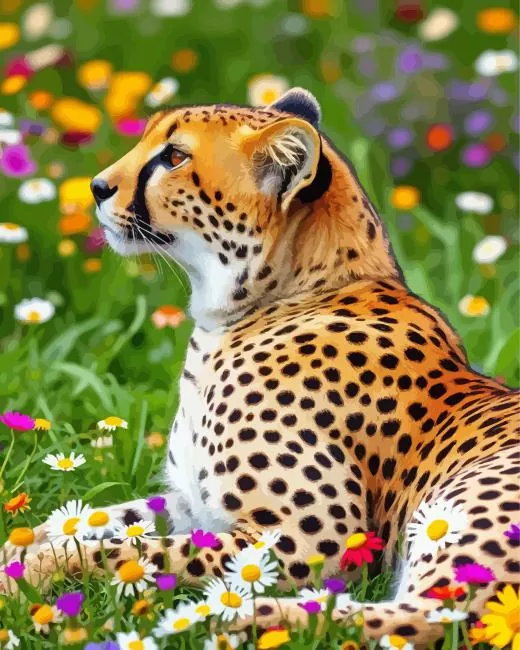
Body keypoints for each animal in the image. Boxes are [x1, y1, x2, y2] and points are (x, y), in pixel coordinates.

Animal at [4, 88, 518, 645]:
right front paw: (19, 546)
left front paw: (29, 577)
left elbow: (126, 552)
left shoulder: (312, 541)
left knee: (410, 618)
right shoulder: (189, 502)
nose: (97, 187)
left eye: (175, 156)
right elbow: (93, 520)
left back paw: (218, 620)